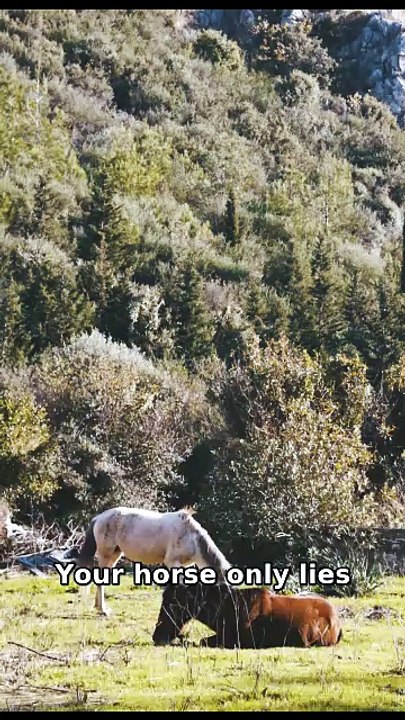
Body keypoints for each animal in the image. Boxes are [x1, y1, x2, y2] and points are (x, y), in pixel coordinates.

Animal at [76, 506, 231, 616]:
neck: (191, 536)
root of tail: (99, 518)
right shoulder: (172, 562)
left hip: (114, 555)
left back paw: (99, 607)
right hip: (105, 555)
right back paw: (103, 610)